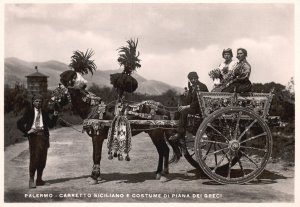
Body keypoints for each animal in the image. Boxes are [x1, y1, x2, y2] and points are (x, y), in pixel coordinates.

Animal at [49, 72, 180, 184]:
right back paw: (160, 172)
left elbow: (96, 155)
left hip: (156, 133)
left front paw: (93, 177)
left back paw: (162, 174)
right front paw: (97, 175)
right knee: (163, 151)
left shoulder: (97, 137)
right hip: (155, 134)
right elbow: (97, 156)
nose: (50, 107)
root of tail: (162, 107)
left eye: (56, 93)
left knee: (164, 150)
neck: (93, 109)